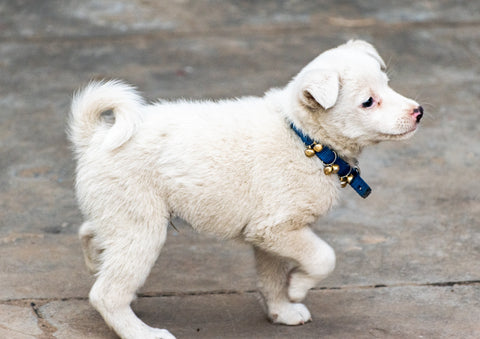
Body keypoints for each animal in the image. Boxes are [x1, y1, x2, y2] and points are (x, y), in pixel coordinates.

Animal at [69, 40, 422, 339]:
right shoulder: (277, 229)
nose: (418, 111)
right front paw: (299, 286)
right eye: (368, 102)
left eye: (388, 84)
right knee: (106, 294)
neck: (305, 140)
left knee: (90, 233)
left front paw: (283, 311)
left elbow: (272, 279)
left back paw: (95, 263)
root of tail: (96, 136)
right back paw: (143, 332)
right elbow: (324, 257)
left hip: (120, 216)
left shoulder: (271, 235)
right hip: (142, 227)